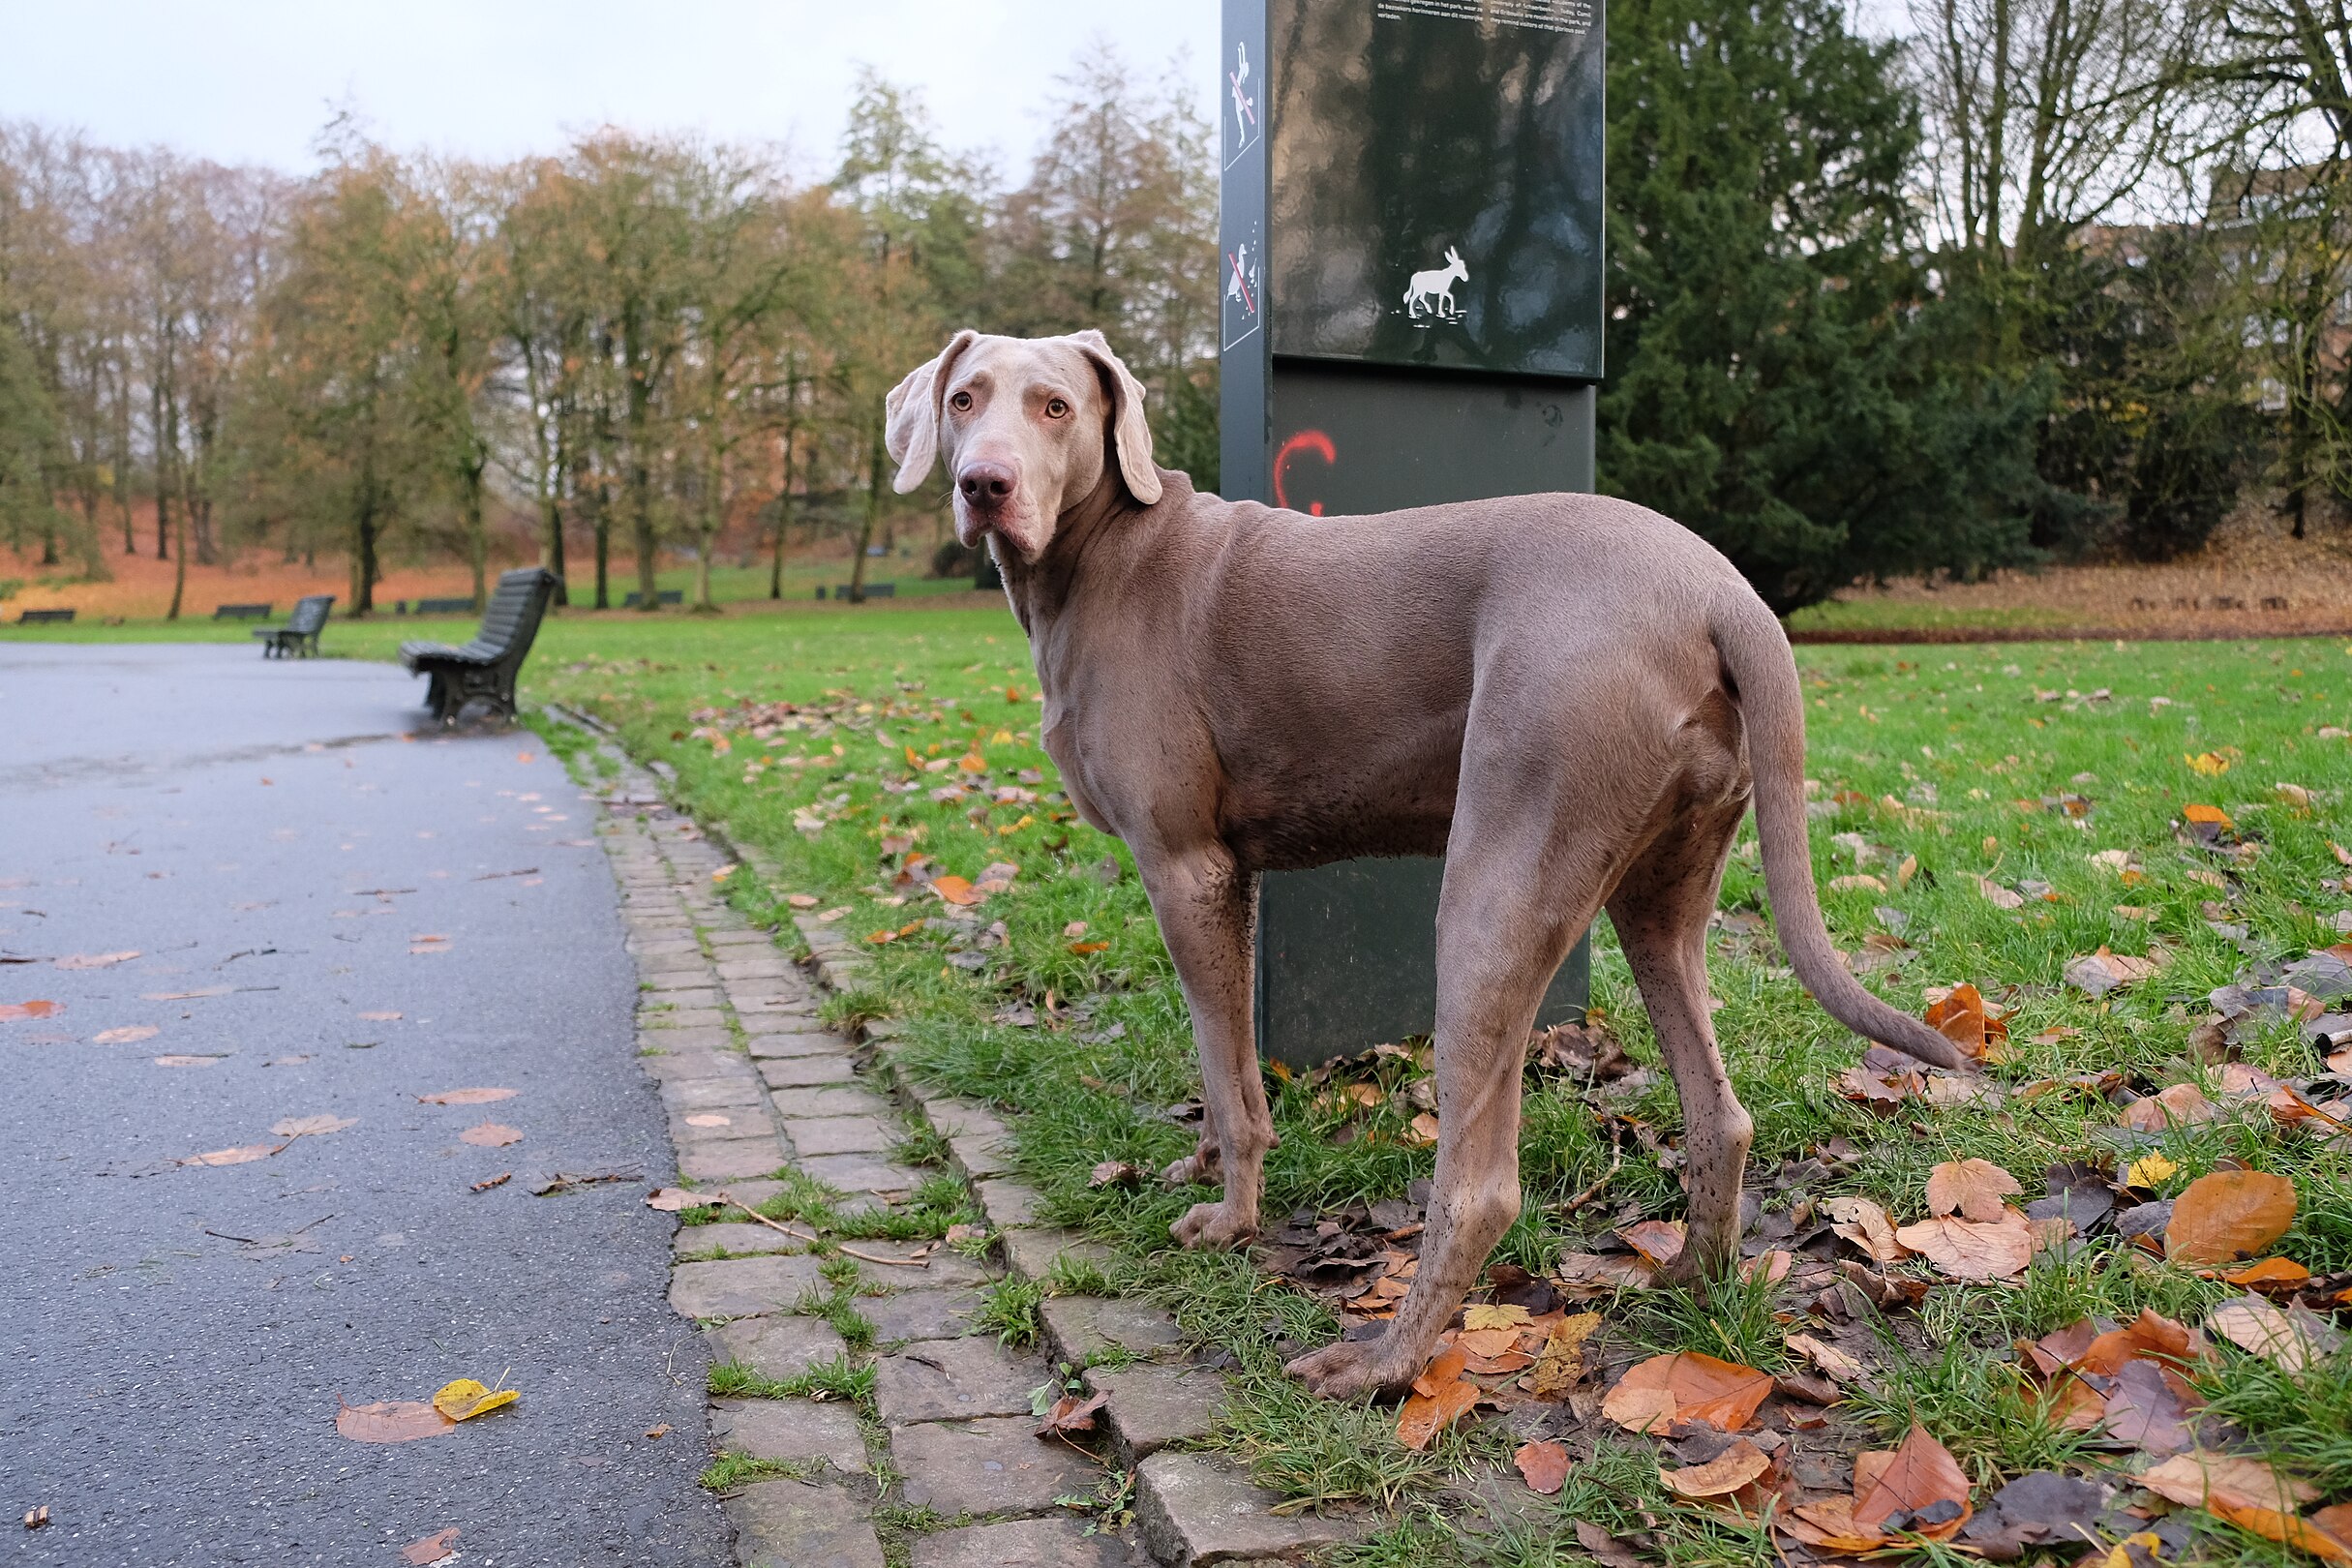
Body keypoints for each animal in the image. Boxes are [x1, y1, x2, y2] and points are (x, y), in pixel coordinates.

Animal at [884, 329, 1966, 1401]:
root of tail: (1721, 593)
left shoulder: (1186, 867)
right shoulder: (1231, 878)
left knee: (1482, 1186)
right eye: (964, 399)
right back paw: (1688, 1287)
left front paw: (1229, 1220)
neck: (1102, 556)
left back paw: (1381, 1363)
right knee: (1721, 1114)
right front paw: (1200, 1167)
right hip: (1661, 888)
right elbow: (1219, 1046)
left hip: (1496, 885)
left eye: (1056, 407)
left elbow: (1228, 1071)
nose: (984, 485)